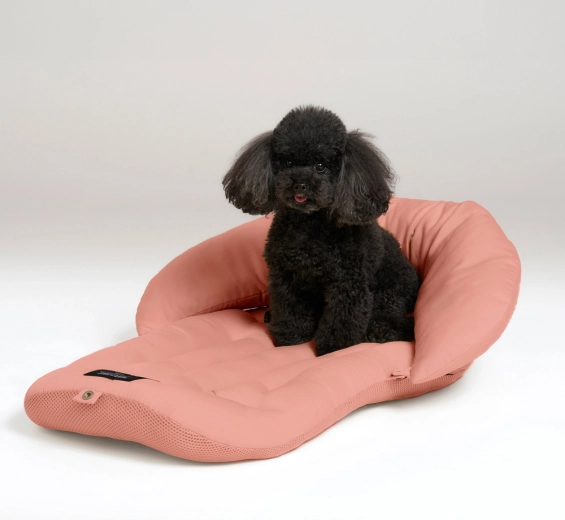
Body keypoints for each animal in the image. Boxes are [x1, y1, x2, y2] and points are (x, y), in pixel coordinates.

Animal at [222, 105, 420, 356]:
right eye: (288, 162)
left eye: (320, 166)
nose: (300, 184)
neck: (309, 225)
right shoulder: (286, 277)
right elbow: (290, 312)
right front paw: (291, 339)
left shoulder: (347, 285)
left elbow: (341, 321)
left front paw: (333, 351)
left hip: (388, 295)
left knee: (389, 321)